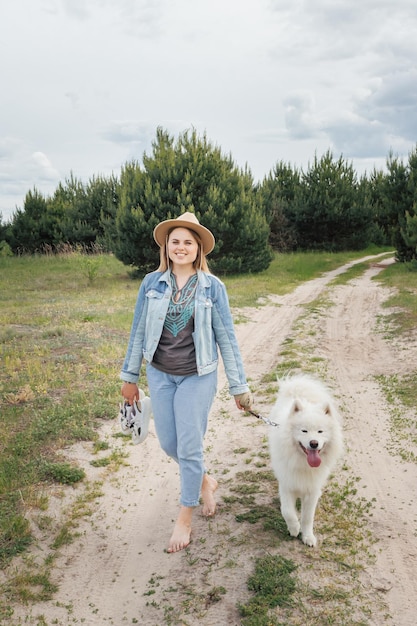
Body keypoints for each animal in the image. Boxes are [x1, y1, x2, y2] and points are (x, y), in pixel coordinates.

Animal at [268, 372, 342, 544]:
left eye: (320, 431)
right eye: (304, 431)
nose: (313, 443)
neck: (303, 464)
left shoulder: (312, 490)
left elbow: (308, 517)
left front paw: (308, 537)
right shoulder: (287, 485)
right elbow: (287, 511)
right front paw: (294, 529)